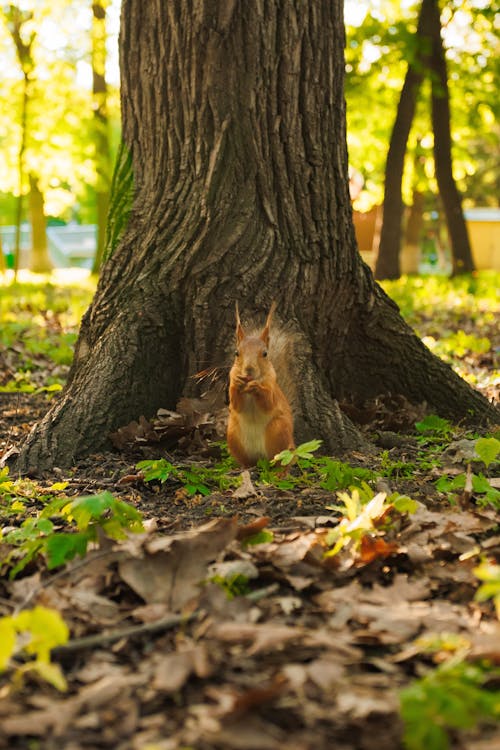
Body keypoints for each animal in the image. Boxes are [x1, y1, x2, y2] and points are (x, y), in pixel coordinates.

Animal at [226, 302, 292, 468]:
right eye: (236, 353)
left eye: (265, 354)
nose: (249, 370)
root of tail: (260, 458)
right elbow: (236, 404)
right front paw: (237, 383)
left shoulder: (272, 386)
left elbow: (268, 403)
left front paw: (257, 387)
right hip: (232, 435)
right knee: (246, 461)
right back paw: (244, 467)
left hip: (279, 432)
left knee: (284, 461)